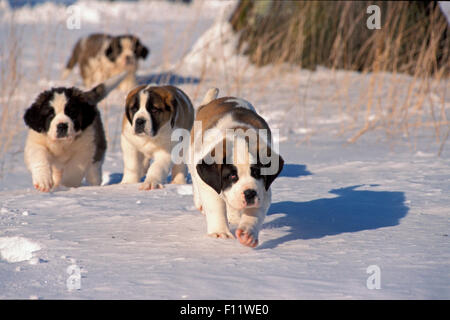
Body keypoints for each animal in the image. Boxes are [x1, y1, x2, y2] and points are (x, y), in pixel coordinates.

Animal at [188, 89, 284, 249]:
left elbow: (254, 213)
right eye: (232, 176)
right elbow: (215, 206)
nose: (249, 193)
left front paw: (247, 234)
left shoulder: (263, 190)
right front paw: (219, 234)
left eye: (256, 172)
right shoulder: (209, 185)